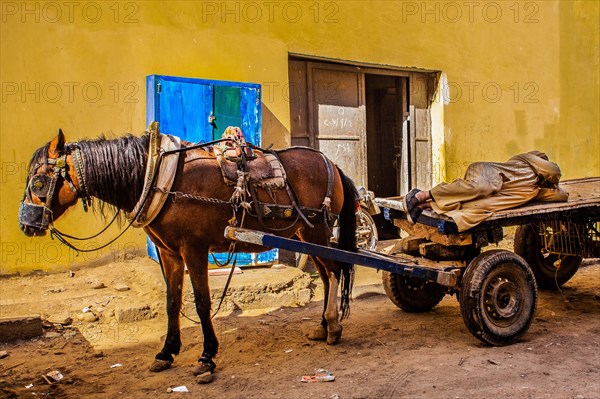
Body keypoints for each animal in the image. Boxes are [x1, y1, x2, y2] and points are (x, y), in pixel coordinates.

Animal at [18, 130, 356, 376]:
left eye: (39, 179)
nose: (26, 223)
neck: (156, 177)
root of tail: (332, 165)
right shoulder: (168, 253)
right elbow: (172, 302)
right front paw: (166, 352)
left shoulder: (193, 249)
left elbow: (203, 303)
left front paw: (206, 356)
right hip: (304, 236)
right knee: (326, 275)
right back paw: (323, 327)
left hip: (317, 231)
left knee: (334, 272)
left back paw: (334, 325)